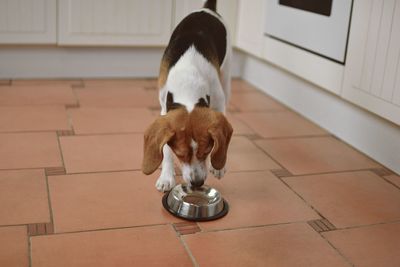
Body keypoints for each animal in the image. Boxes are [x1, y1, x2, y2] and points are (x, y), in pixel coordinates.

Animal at [141, 0, 233, 193]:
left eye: (207, 151)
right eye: (180, 154)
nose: (197, 183)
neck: (188, 80)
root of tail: (207, 9)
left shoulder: (218, 104)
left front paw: (218, 166)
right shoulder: (164, 110)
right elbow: (165, 151)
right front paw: (166, 177)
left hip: (227, 76)